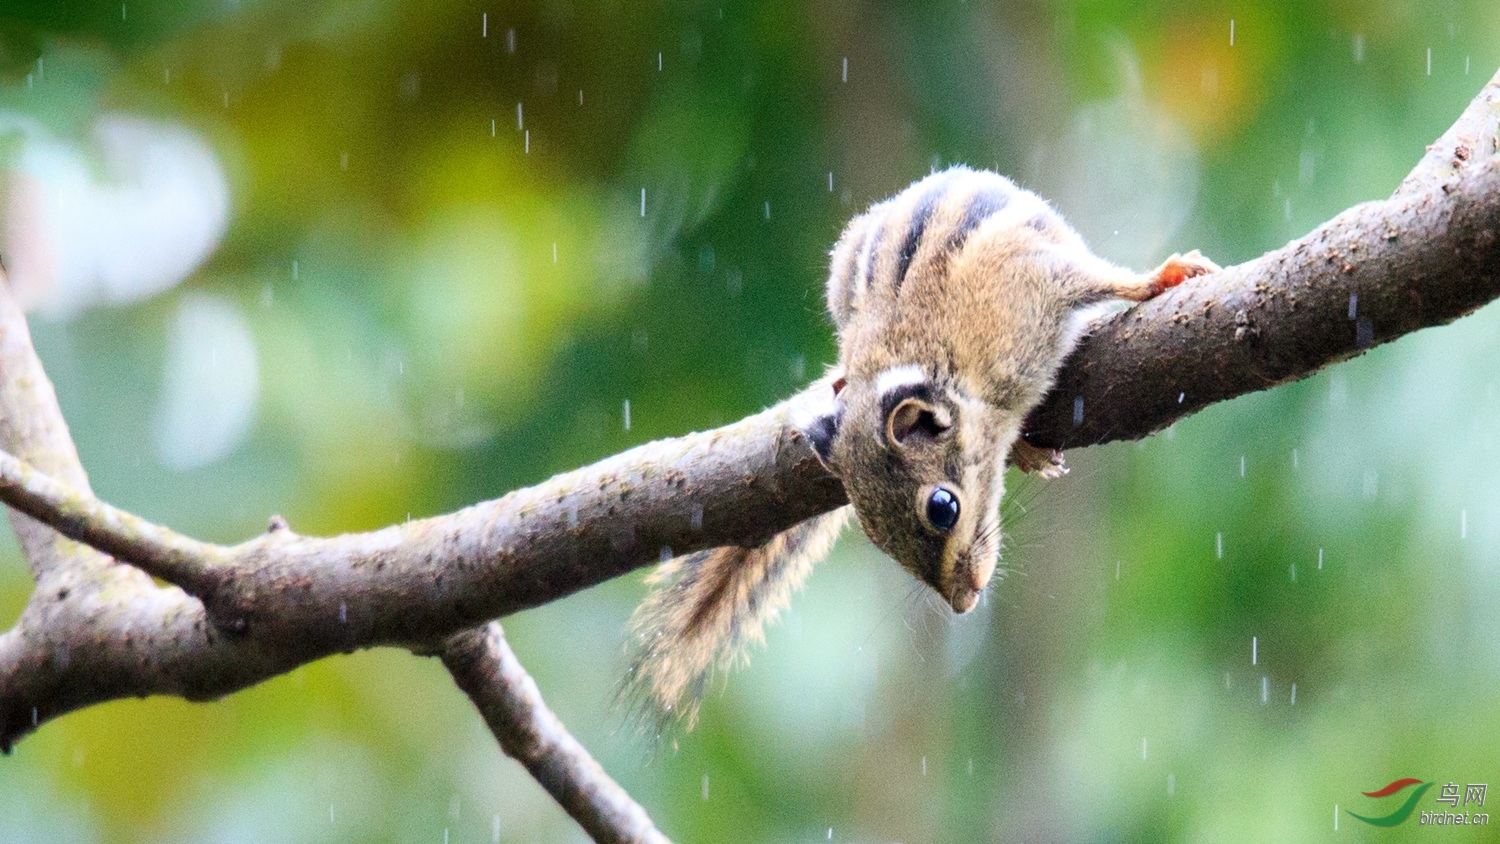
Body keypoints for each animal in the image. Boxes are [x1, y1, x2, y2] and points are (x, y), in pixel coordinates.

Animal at [624, 164, 1218, 725]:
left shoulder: (1036, 281)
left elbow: (1100, 278)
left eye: (943, 508)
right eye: (874, 537)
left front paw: (1163, 276)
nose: (963, 602)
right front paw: (1024, 450)